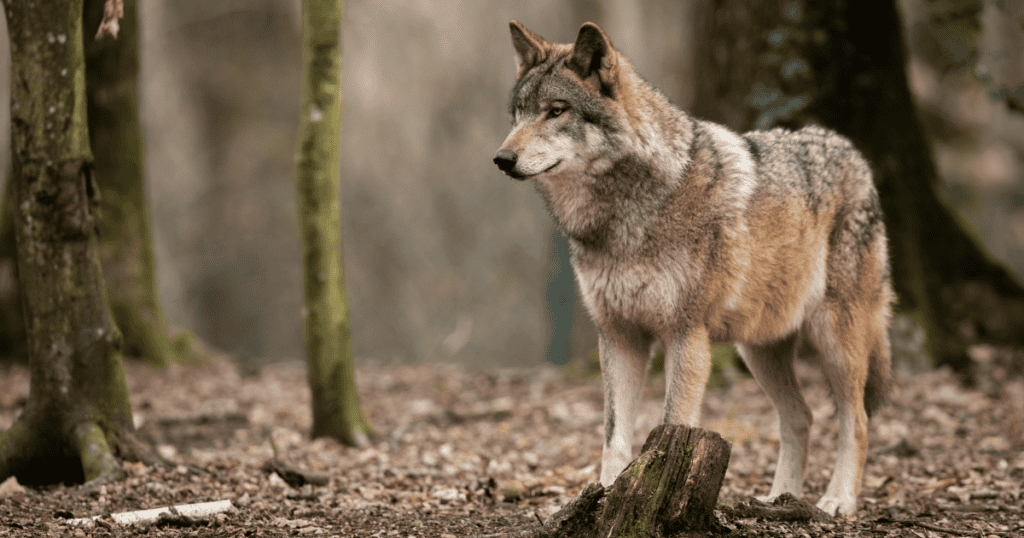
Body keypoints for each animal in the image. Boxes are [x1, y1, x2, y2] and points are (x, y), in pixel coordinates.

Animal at [493, 21, 893, 516]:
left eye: (555, 111)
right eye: (518, 114)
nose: (502, 159)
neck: (625, 216)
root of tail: (852, 152)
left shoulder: (686, 335)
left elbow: (671, 426)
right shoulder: (620, 336)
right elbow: (614, 436)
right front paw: (605, 497)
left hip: (835, 341)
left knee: (857, 420)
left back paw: (837, 501)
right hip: (758, 350)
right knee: (801, 416)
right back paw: (779, 498)